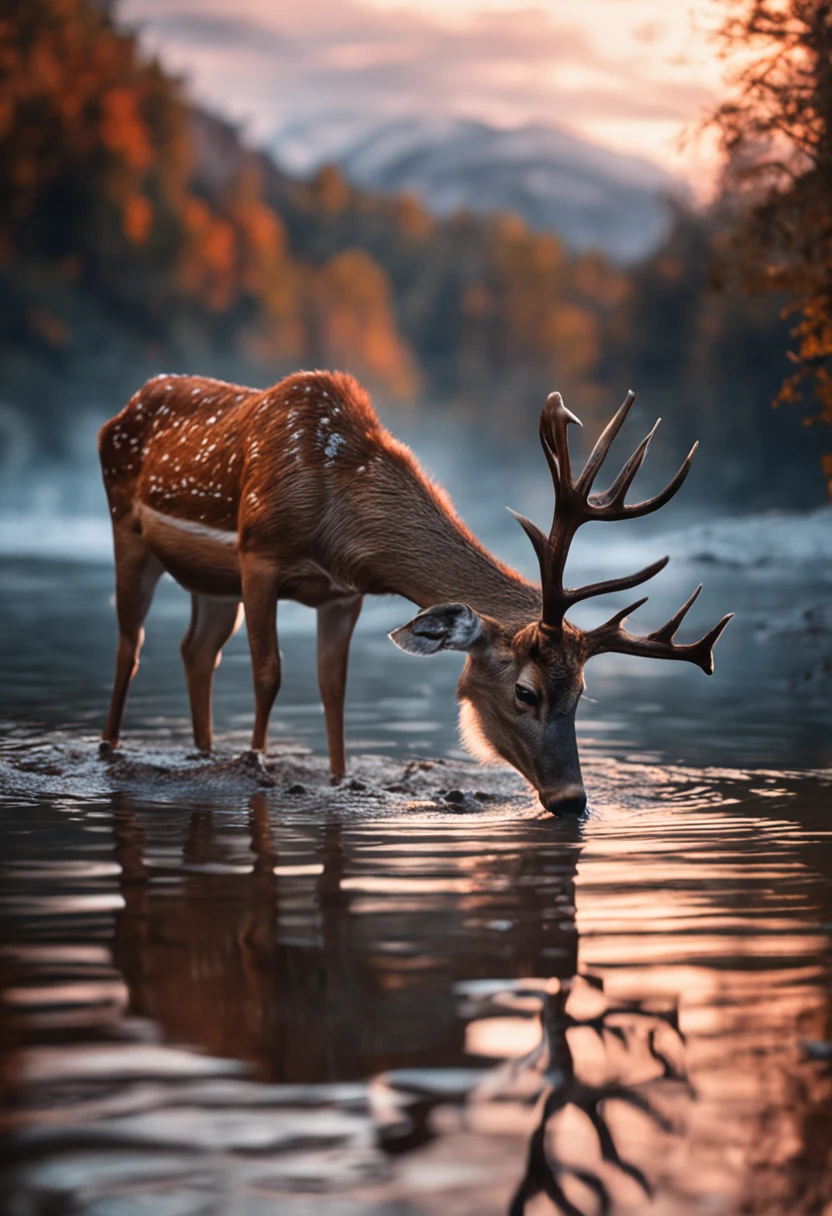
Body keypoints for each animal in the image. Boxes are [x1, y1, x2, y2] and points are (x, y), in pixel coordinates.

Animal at [97, 369, 729, 817]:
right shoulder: (259, 554)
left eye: (581, 693)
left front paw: (338, 779)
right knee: (131, 645)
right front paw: (256, 766)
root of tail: (120, 411)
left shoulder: (341, 594)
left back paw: (200, 753)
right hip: (129, 530)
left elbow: (333, 687)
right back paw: (110, 748)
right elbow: (268, 673)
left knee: (196, 651)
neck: (338, 515)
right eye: (526, 692)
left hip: (212, 584)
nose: (573, 800)